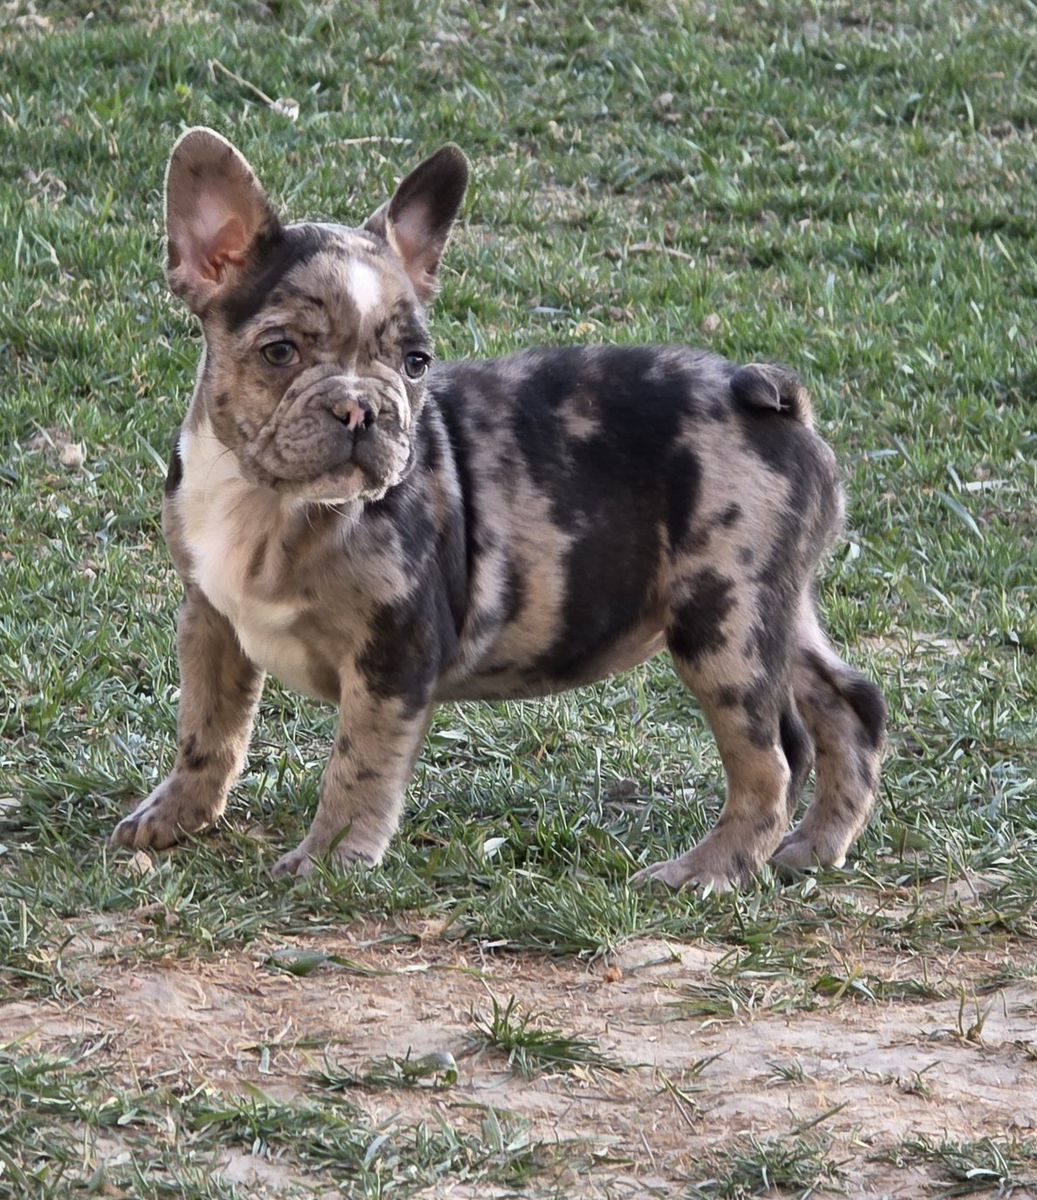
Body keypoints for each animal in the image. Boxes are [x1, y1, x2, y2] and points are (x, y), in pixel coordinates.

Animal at [110, 127, 885, 889]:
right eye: (279, 352)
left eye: (416, 363)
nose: (363, 408)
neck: (275, 503)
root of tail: (771, 401)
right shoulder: (210, 618)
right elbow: (207, 727)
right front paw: (175, 813)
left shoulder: (394, 652)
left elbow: (357, 764)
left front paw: (328, 860)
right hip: (771, 608)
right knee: (846, 706)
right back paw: (815, 846)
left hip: (723, 622)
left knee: (770, 759)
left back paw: (710, 870)